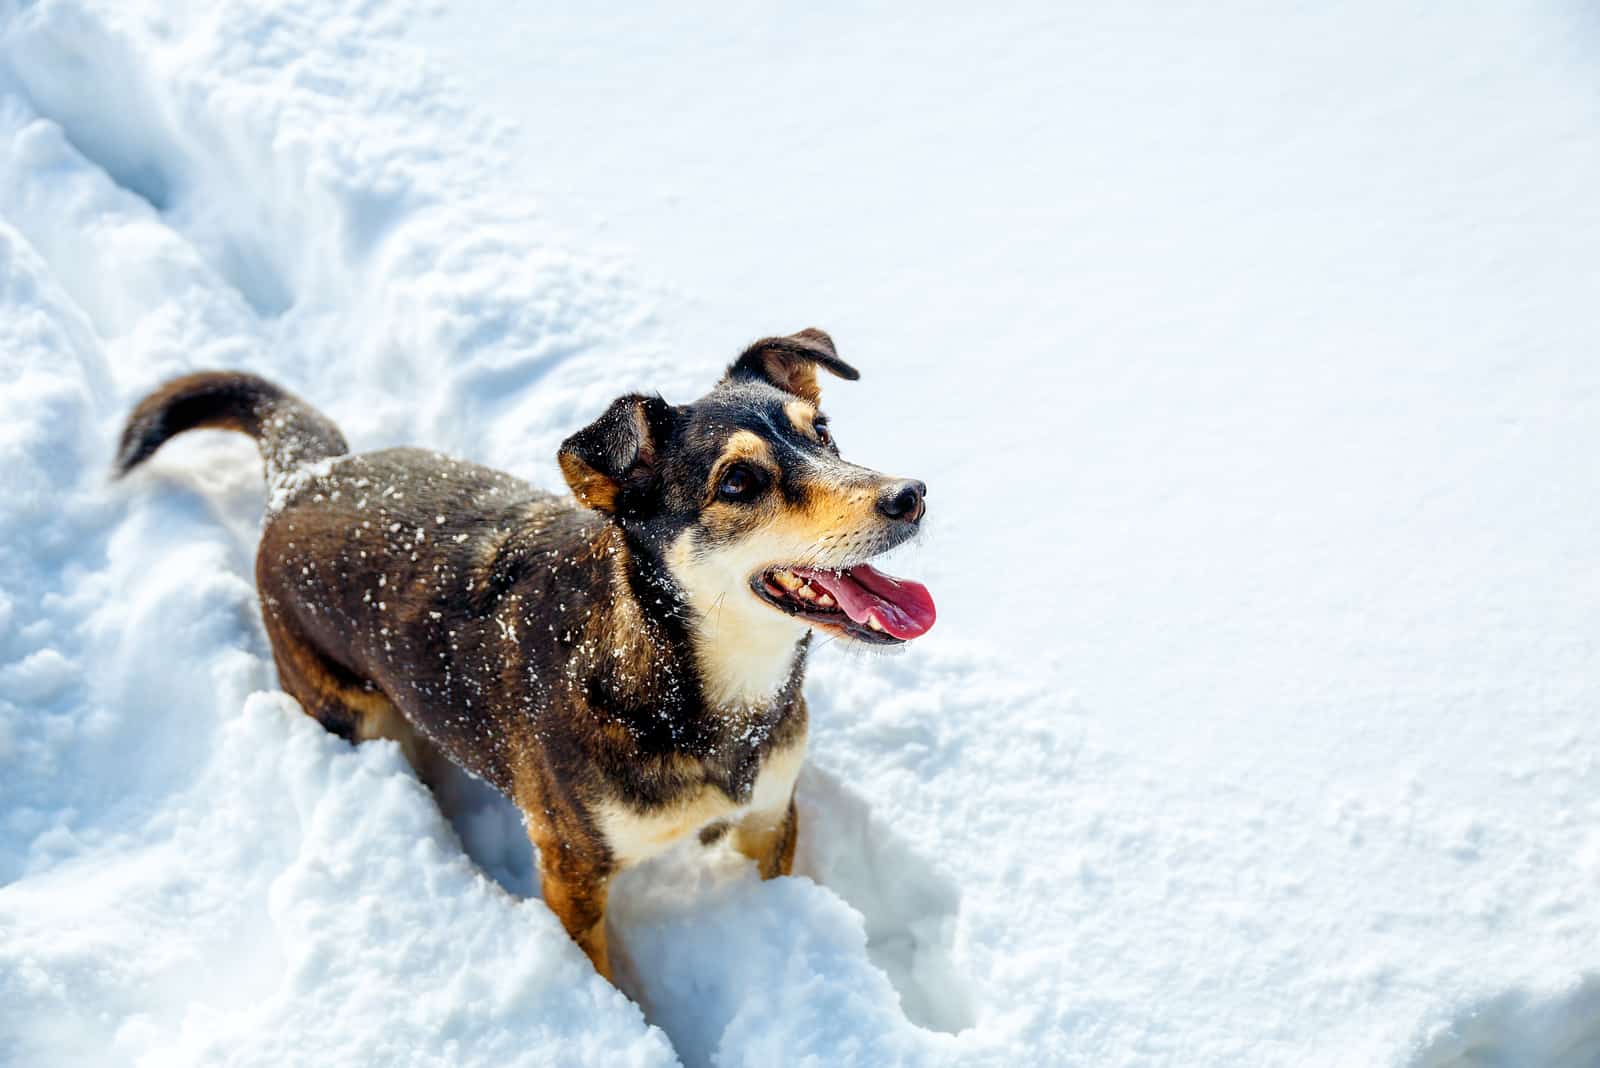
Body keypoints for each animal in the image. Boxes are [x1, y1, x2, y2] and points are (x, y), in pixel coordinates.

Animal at [118, 327, 934, 984]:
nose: (910, 493)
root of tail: (307, 478)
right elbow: (603, 978)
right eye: (738, 481)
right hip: (343, 706)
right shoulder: (573, 868)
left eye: (822, 432)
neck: (684, 684)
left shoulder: (769, 817)